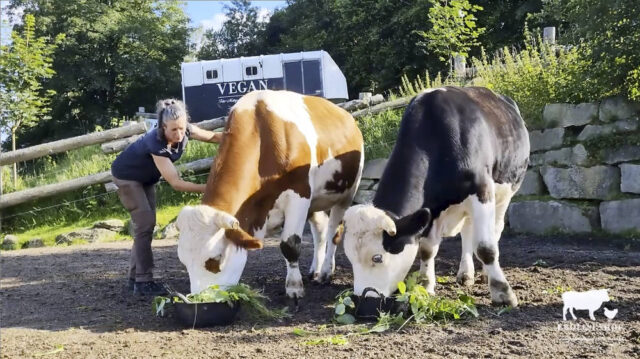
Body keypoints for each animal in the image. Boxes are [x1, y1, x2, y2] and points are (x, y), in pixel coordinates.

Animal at [178, 90, 362, 300]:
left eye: (216, 259)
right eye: (184, 261)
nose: (199, 299)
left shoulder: (299, 194)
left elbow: (290, 244)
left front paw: (294, 287)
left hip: (347, 193)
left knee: (333, 232)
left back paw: (325, 272)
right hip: (315, 201)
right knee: (320, 230)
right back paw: (315, 270)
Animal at [344, 86, 528, 306]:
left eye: (377, 257)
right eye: (348, 256)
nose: (363, 300)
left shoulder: (482, 190)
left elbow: (485, 247)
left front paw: (502, 292)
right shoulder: (431, 209)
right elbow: (427, 249)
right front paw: (425, 285)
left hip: (505, 192)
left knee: (496, 229)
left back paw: (485, 274)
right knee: (467, 231)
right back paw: (466, 273)